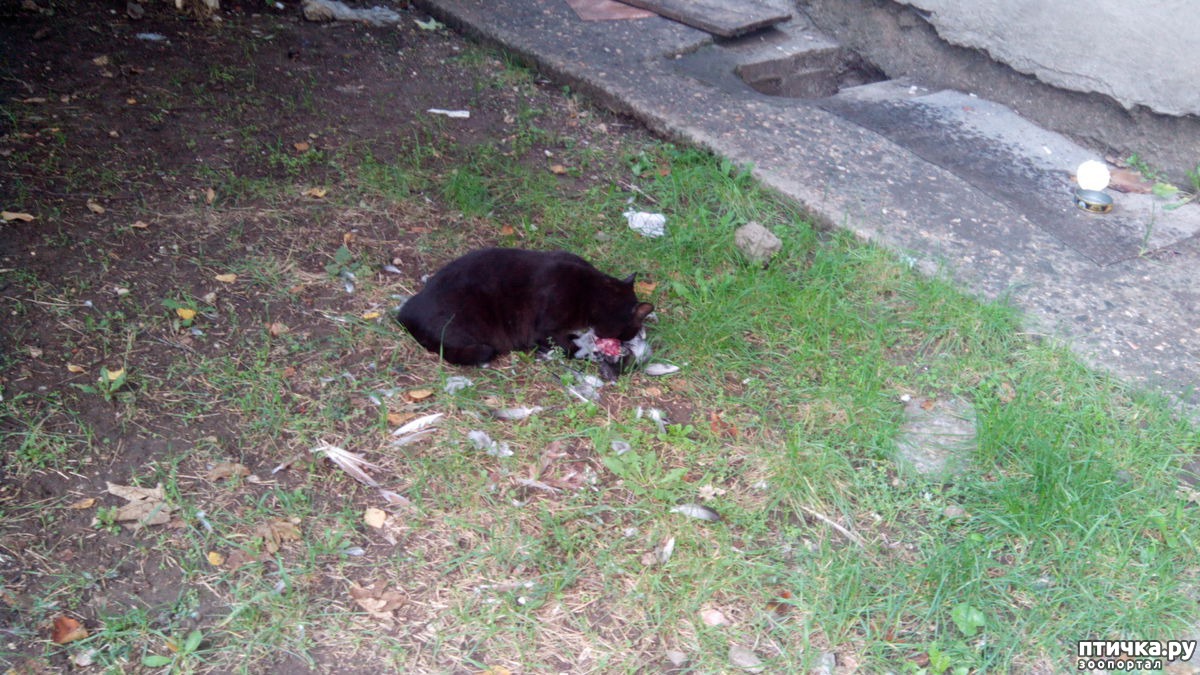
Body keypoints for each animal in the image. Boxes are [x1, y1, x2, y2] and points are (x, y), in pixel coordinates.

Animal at [397, 247, 654, 370]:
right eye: (632, 330)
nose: (630, 340)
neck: (593, 293)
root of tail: (406, 313)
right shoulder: (546, 329)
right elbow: (566, 347)